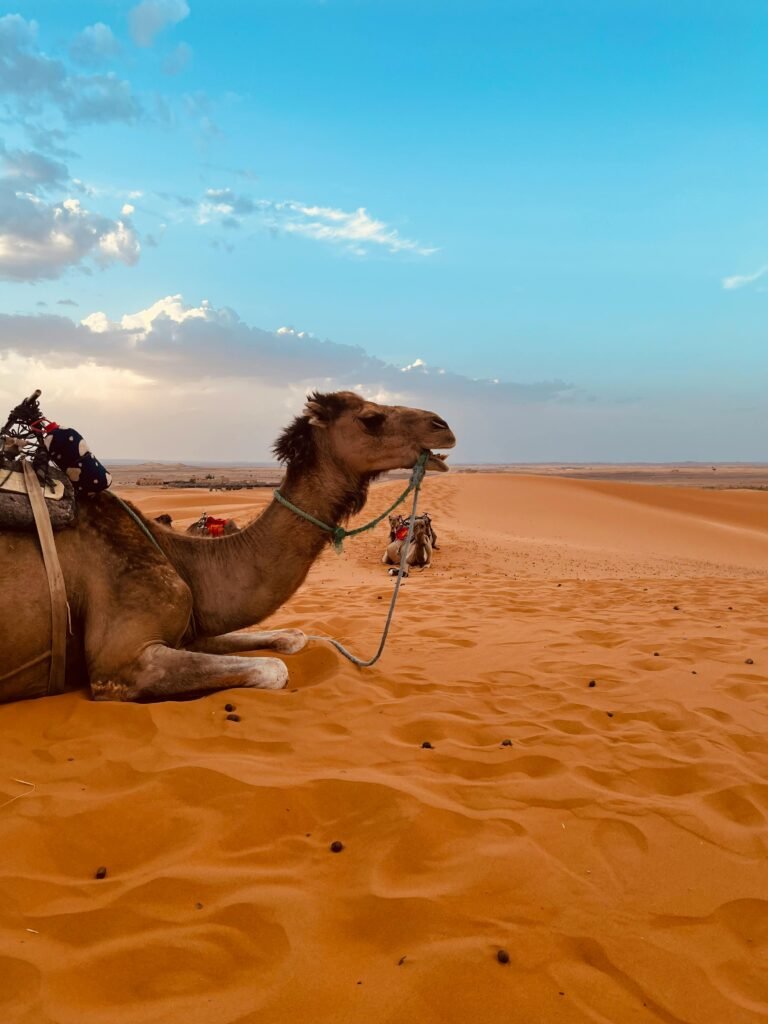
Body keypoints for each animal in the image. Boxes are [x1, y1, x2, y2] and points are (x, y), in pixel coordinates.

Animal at [0, 391, 454, 703]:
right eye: (371, 418)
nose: (443, 425)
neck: (181, 557)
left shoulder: (189, 631)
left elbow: (292, 637)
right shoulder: (121, 663)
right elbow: (274, 669)